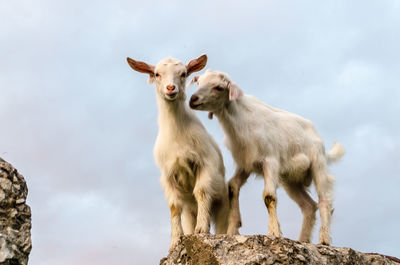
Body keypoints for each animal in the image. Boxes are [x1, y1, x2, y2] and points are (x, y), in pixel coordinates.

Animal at [126, 55, 230, 248]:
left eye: (183, 74)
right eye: (157, 74)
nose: (170, 88)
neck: (178, 135)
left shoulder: (206, 163)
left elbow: (201, 191)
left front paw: (202, 230)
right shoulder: (167, 174)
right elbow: (174, 206)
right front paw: (175, 240)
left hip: (223, 203)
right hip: (190, 212)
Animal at [189, 69, 346, 243]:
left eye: (218, 87)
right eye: (198, 82)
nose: (193, 99)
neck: (242, 120)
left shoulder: (270, 162)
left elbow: (269, 196)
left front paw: (274, 232)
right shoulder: (245, 164)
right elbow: (232, 187)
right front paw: (232, 229)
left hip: (318, 164)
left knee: (324, 201)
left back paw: (324, 239)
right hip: (291, 181)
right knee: (309, 206)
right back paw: (303, 239)